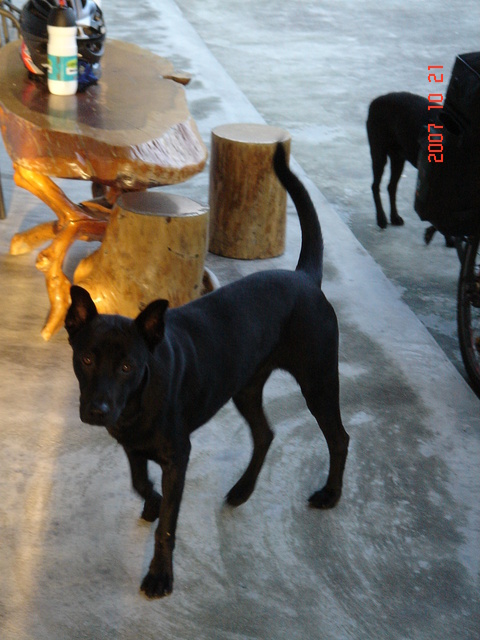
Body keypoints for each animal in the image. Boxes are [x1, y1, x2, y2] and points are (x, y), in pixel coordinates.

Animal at [65, 143, 350, 599]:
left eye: (128, 366)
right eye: (87, 359)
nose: (98, 411)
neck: (140, 398)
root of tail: (305, 277)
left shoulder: (178, 457)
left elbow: (167, 526)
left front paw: (160, 576)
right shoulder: (133, 446)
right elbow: (140, 483)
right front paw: (151, 502)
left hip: (318, 380)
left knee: (338, 438)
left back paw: (330, 494)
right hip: (245, 387)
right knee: (265, 433)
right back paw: (242, 490)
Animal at [367, 91, 453, 246]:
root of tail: (375, 101)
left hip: (398, 157)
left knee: (391, 186)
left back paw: (394, 217)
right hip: (379, 153)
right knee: (375, 186)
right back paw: (381, 219)